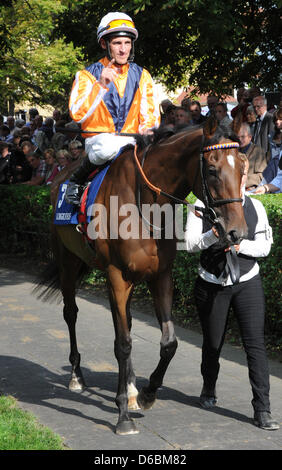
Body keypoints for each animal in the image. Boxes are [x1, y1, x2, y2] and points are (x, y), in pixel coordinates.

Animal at [34, 117, 248, 434]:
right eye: (212, 170)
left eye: (243, 168)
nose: (237, 232)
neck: (145, 205)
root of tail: (61, 175)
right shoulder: (116, 275)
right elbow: (123, 344)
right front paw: (123, 414)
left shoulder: (160, 275)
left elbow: (168, 343)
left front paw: (146, 393)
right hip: (68, 261)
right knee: (71, 313)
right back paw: (76, 376)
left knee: (125, 322)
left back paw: (132, 388)